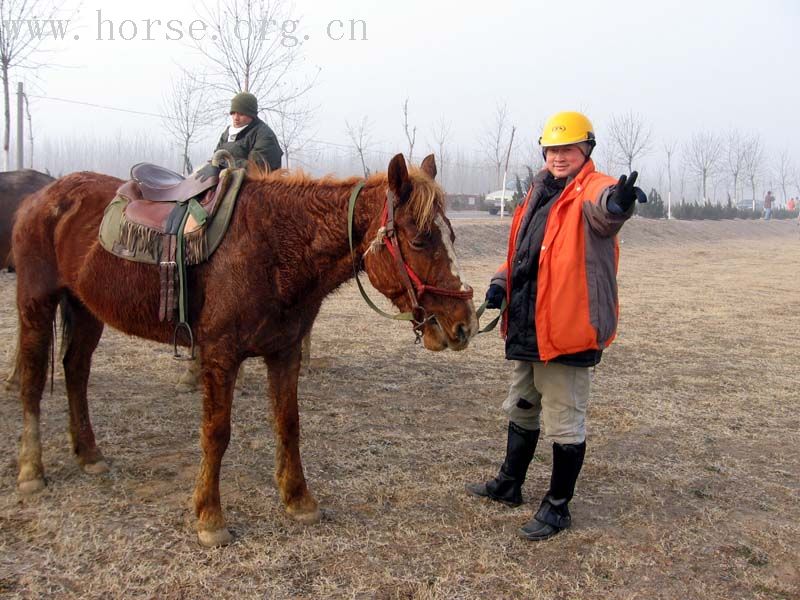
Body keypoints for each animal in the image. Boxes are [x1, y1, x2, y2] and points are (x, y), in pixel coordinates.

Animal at [10, 154, 476, 548]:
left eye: (451, 235)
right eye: (421, 239)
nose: (464, 325)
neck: (273, 245)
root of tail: (40, 197)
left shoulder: (284, 353)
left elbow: (289, 425)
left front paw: (298, 499)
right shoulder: (219, 356)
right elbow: (216, 434)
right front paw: (210, 518)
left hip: (86, 309)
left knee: (75, 372)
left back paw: (88, 454)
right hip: (36, 303)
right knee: (31, 380)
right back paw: (31, 470)